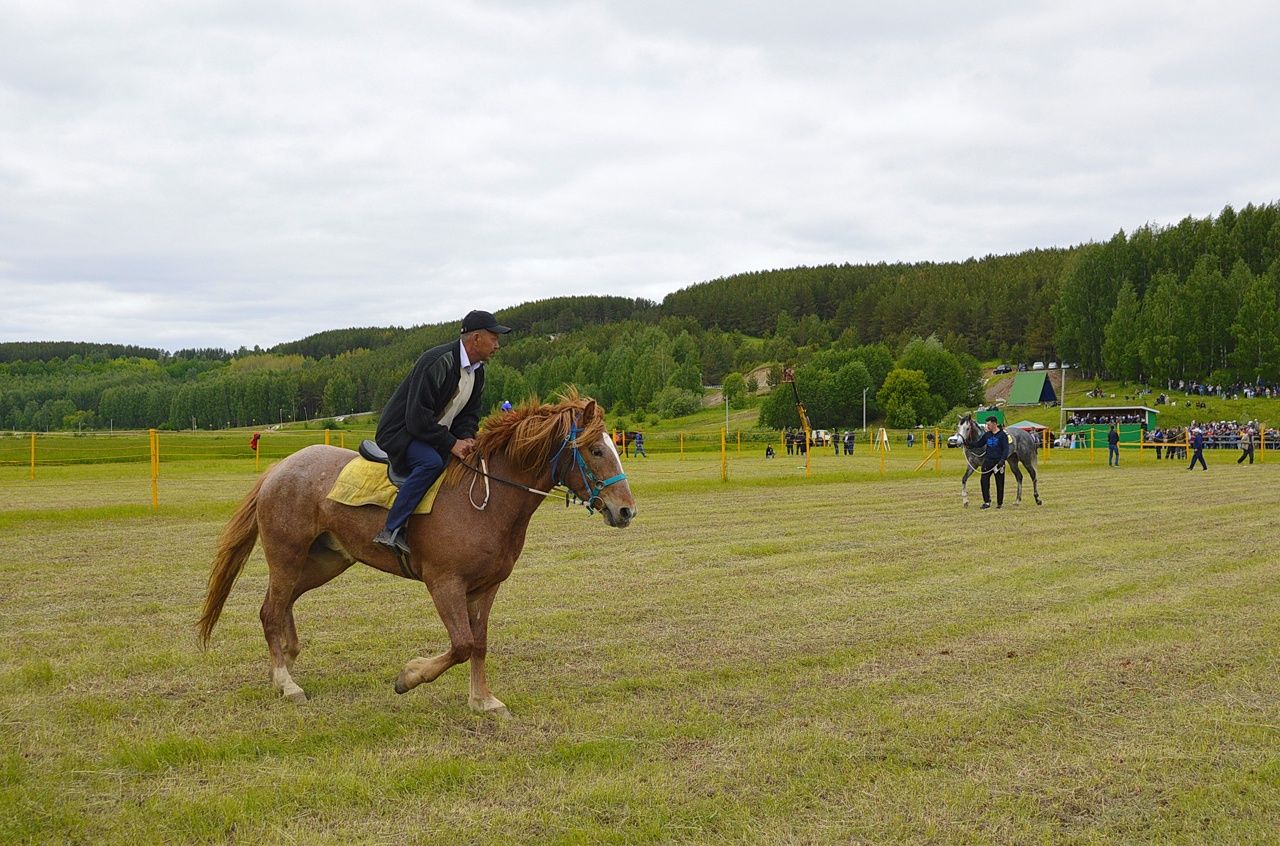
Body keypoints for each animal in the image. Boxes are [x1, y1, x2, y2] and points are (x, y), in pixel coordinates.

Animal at [198, 394, 634, 711]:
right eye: (595, 450)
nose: (626, 510)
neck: (488, 499)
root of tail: (278, 469)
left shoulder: (486, 587)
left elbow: (479, 643)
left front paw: (482, 701)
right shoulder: (444, 584)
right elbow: (461, 645)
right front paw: (409, 677)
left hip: (325, 561)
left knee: (282, 603)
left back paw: (284, 665)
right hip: (287, 555)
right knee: (271, 610)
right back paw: (287, 683)